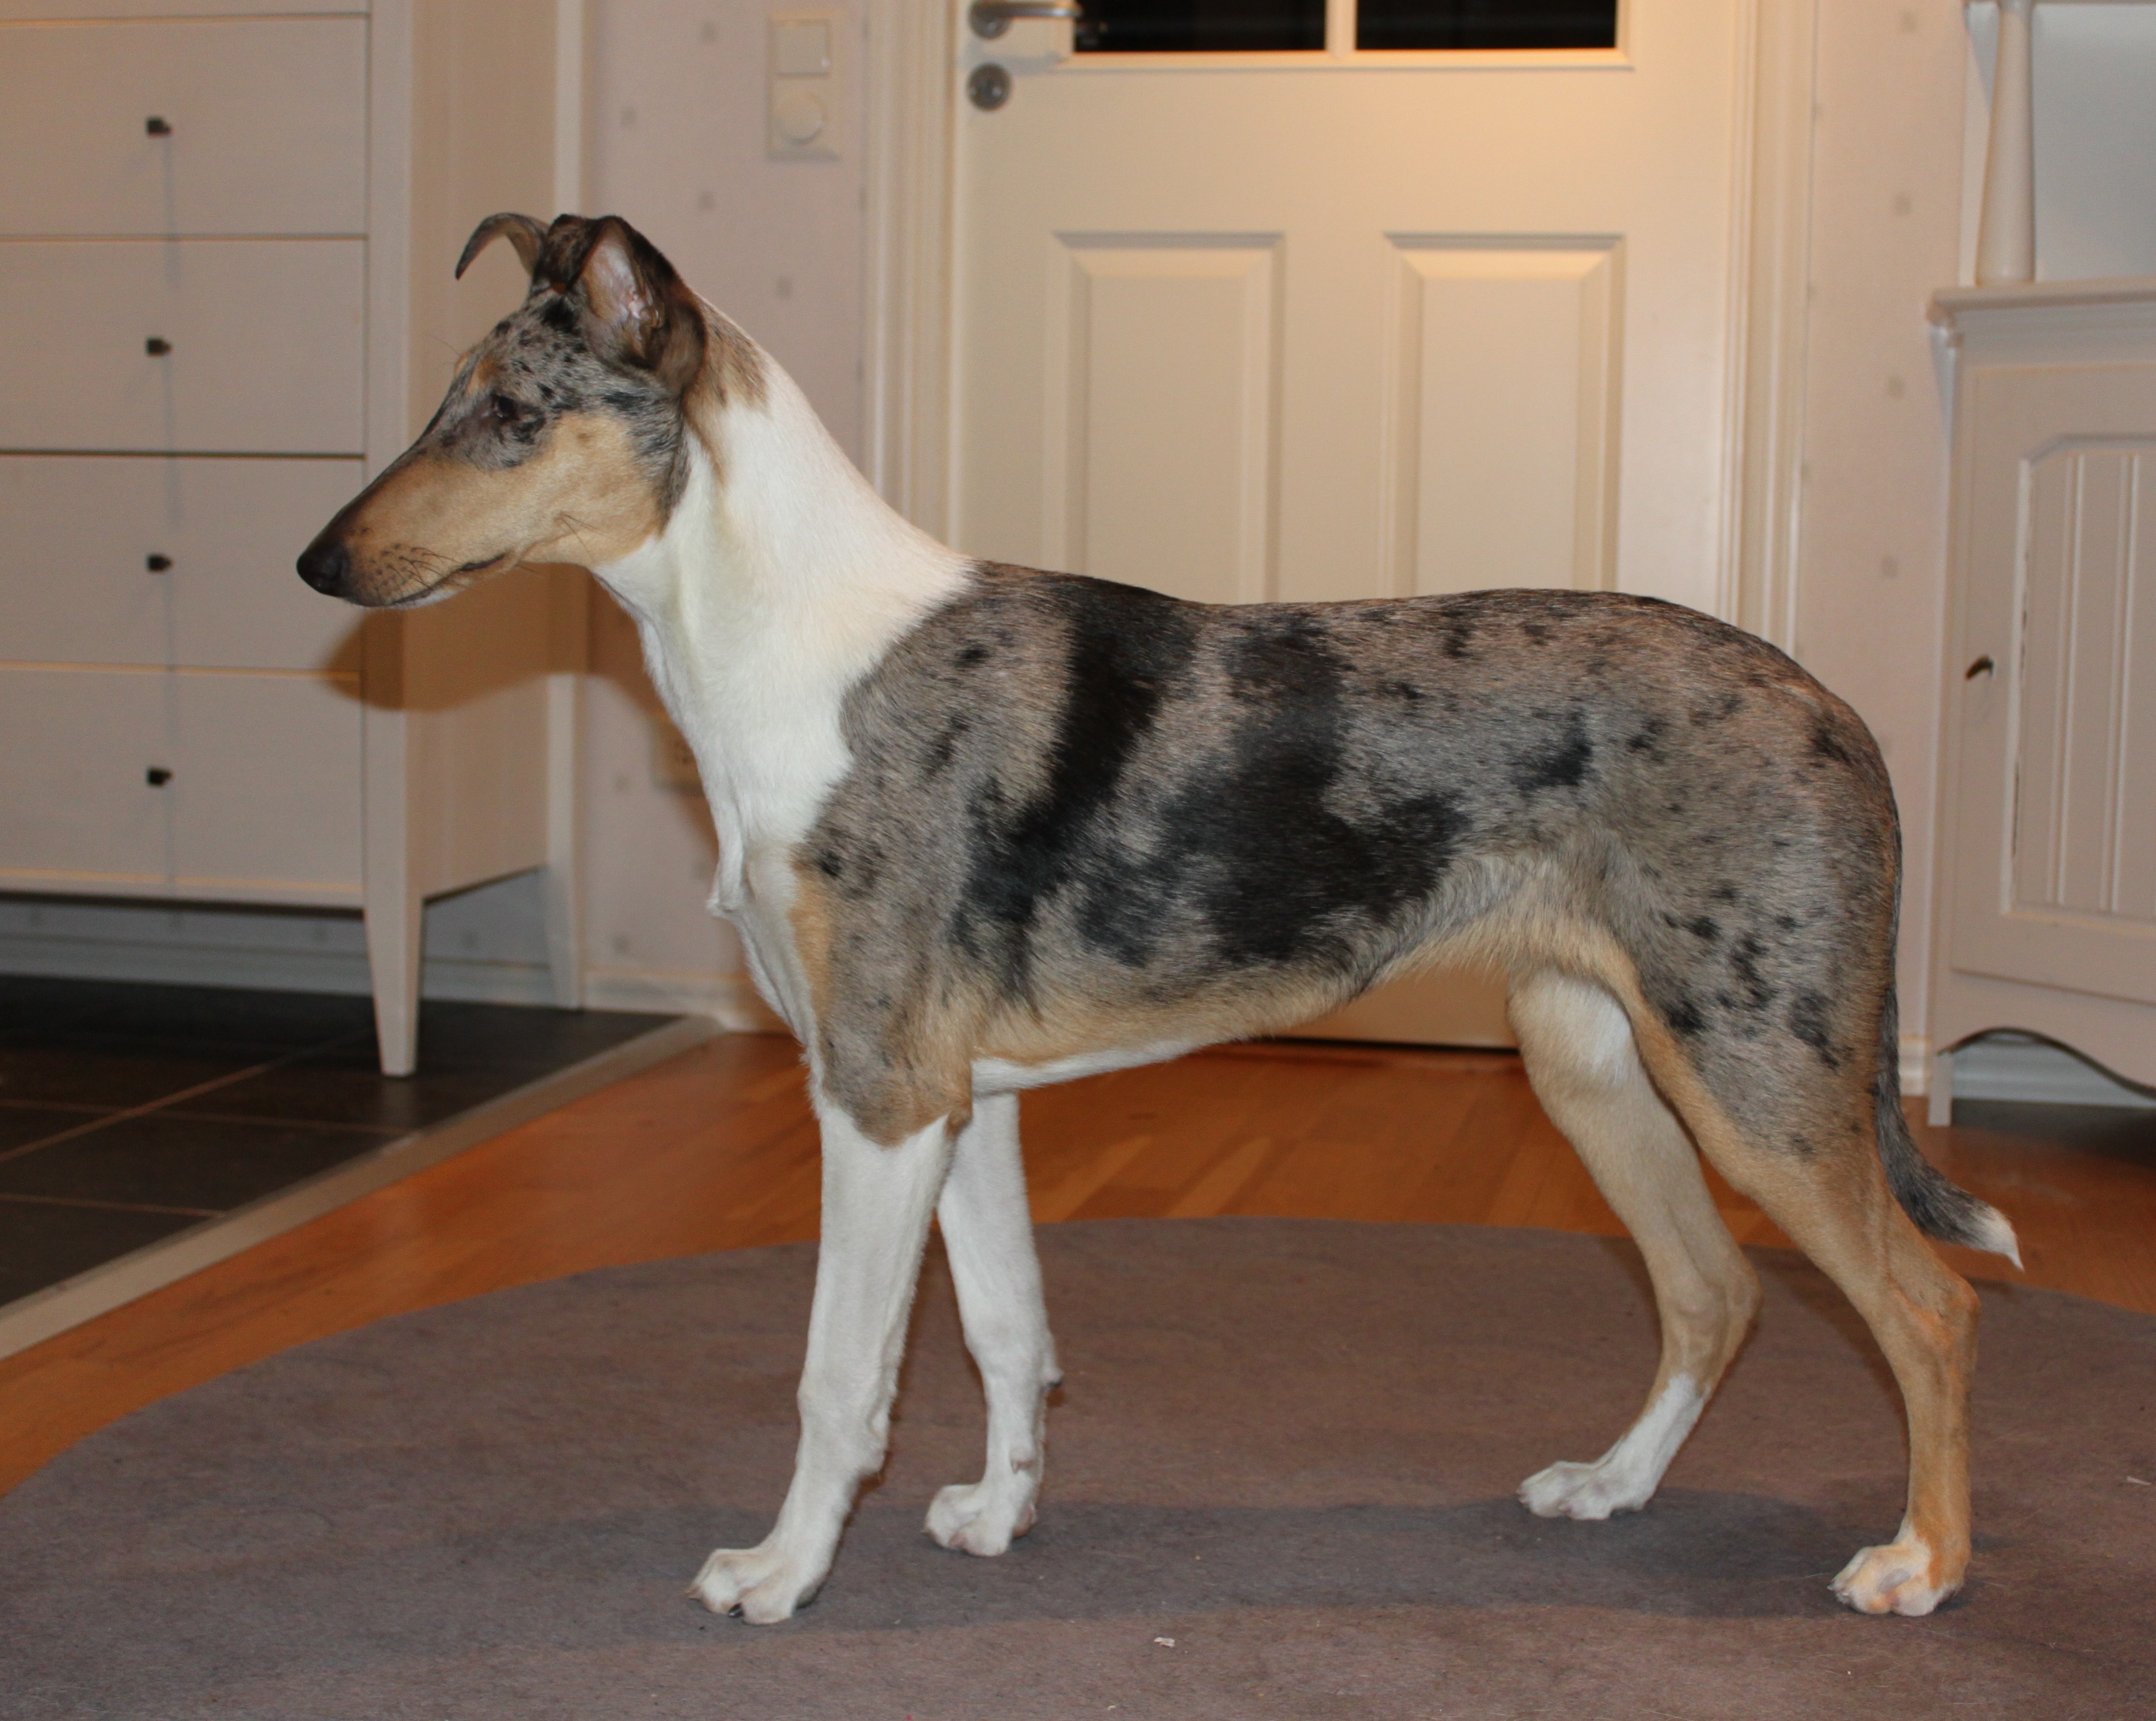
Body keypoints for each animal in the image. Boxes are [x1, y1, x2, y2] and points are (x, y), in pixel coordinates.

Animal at [299, 212, 2019, 1624]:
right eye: (451, 398)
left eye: (509, 414)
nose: (318, 560)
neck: (790, 647)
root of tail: (1840, 711)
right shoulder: (966, 1103)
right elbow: (1009, 1331)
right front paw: (999, 1515)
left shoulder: (876, 1097)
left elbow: (839, 1374)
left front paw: (780, 1574)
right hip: (1594, 1059)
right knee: (1714, 1291)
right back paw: (1611, 1486)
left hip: (1758, 1074)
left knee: (1929, 1307)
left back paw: (1920, 1566)